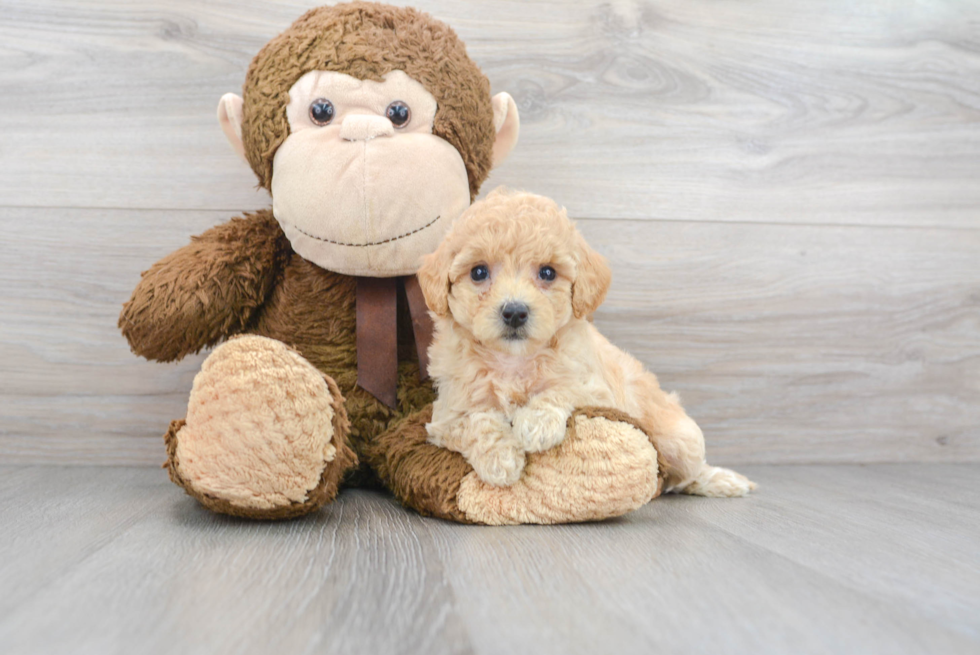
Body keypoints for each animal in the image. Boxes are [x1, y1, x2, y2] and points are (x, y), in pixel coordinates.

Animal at [418, 190, 756, 498]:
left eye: (548, 272)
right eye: (478, 272)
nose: (514, 312)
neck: (514, 361)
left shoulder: (595, 389)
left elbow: (563, 389)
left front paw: (536, 425)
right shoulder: (447, 413)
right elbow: (476, 421)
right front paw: (500, 459)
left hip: (680, 439)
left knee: (686, 474)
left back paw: (721, 480)